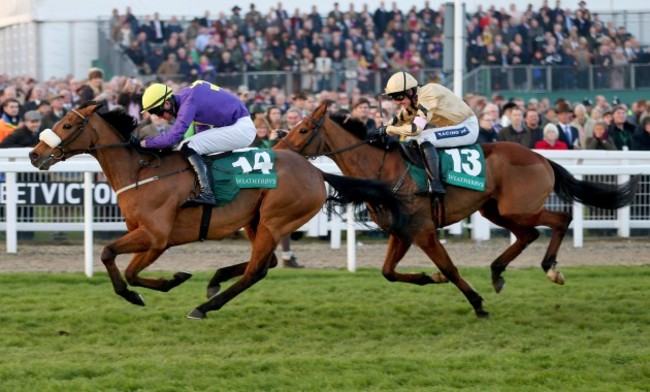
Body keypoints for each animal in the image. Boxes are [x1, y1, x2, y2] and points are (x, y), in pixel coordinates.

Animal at [29, 103, 404, 318]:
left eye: (66, 125)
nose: (34, 154)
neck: (141, 172)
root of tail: (316, 171)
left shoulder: (156, 237)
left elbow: (116, 260)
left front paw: (150, 289)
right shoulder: (146, 236)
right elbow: (117, 261)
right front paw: (162, 284)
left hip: (275, 219)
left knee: (256, 270)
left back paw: (205, 306)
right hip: (256, 221)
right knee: (264, 262)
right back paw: (215, 281)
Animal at [276, 102, 636, 318]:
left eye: (304, 129)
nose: (277, 147)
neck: (382, 170)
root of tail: (541, 157)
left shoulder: (421, 230)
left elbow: (449, 268)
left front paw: (476, 304)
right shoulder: (401, 232)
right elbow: (389, 272)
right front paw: (428, 277)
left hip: (518, 208)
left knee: (560, 219)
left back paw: (550, 268)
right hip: (496, 210)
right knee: (529, 234)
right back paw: (497, 272)